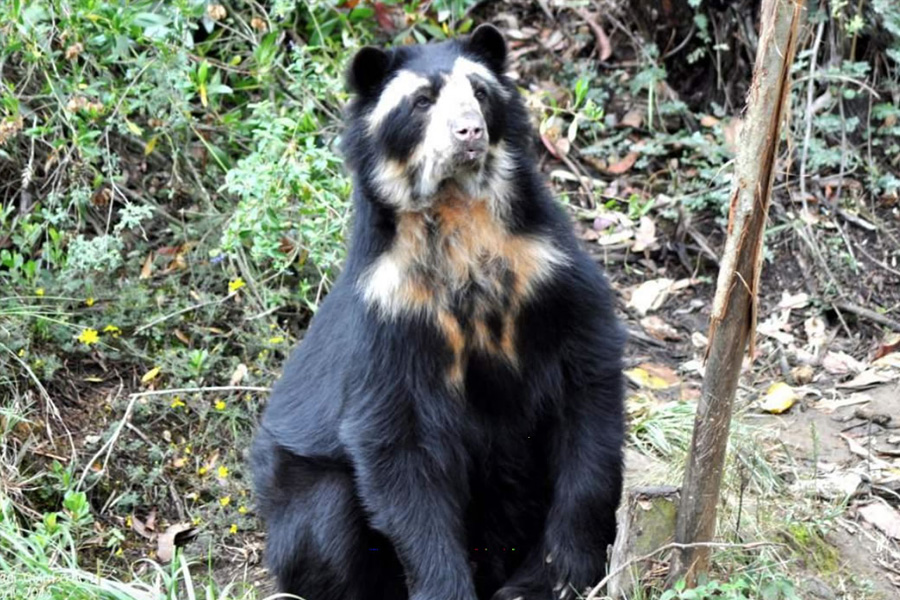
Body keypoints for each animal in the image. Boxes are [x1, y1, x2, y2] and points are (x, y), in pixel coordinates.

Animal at [250, 24, 626, 600]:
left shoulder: (551, 274)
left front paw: (556, 576)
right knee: (326, 518)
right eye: (422, 102)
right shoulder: (391, 314)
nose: (469, 133)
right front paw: (447, 587)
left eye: (480, 92)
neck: (459, 217)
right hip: (298, 493)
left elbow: (588, 398)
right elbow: (397, 446)